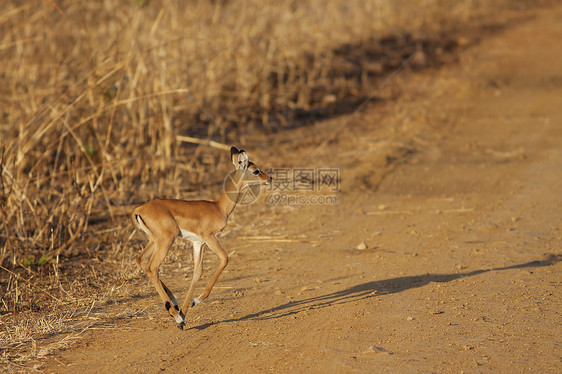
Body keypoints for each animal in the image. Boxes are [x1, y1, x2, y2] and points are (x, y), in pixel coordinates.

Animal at [131, 148, 272, 328]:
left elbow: (197, 272)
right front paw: (192, 303)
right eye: (256, 170)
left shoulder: (198, 243)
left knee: (141, 261)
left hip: (154, 241)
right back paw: (175, 315)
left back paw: (175, 308)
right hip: (166, 240)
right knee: (153, 267)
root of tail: (139, 209)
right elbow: (224, 258)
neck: (219, 208)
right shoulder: (210, 238)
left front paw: (185, 311)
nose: (269, 179)